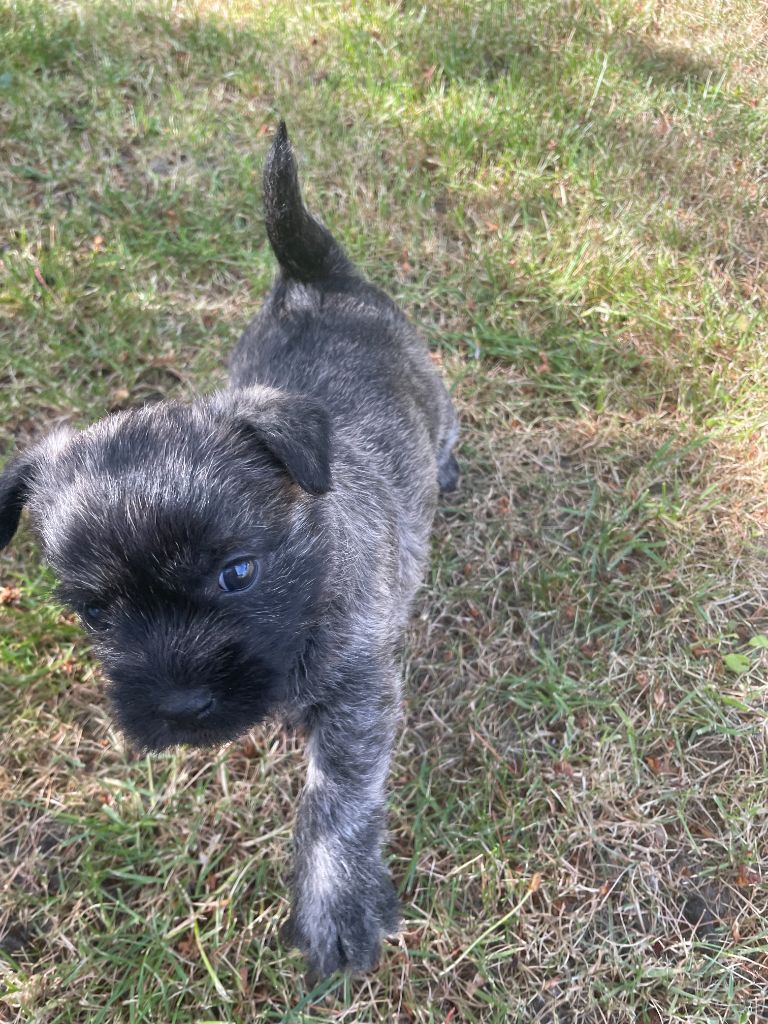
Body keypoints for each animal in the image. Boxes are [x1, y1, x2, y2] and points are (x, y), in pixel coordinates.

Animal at [0, 122, 459, 979]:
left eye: (236, 573)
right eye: (95, 611)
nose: (182, 708)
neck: (314, 568)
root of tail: (310, 278)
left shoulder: (358, 696)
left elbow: (336, 800)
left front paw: (335, 907)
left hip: (433, 390)